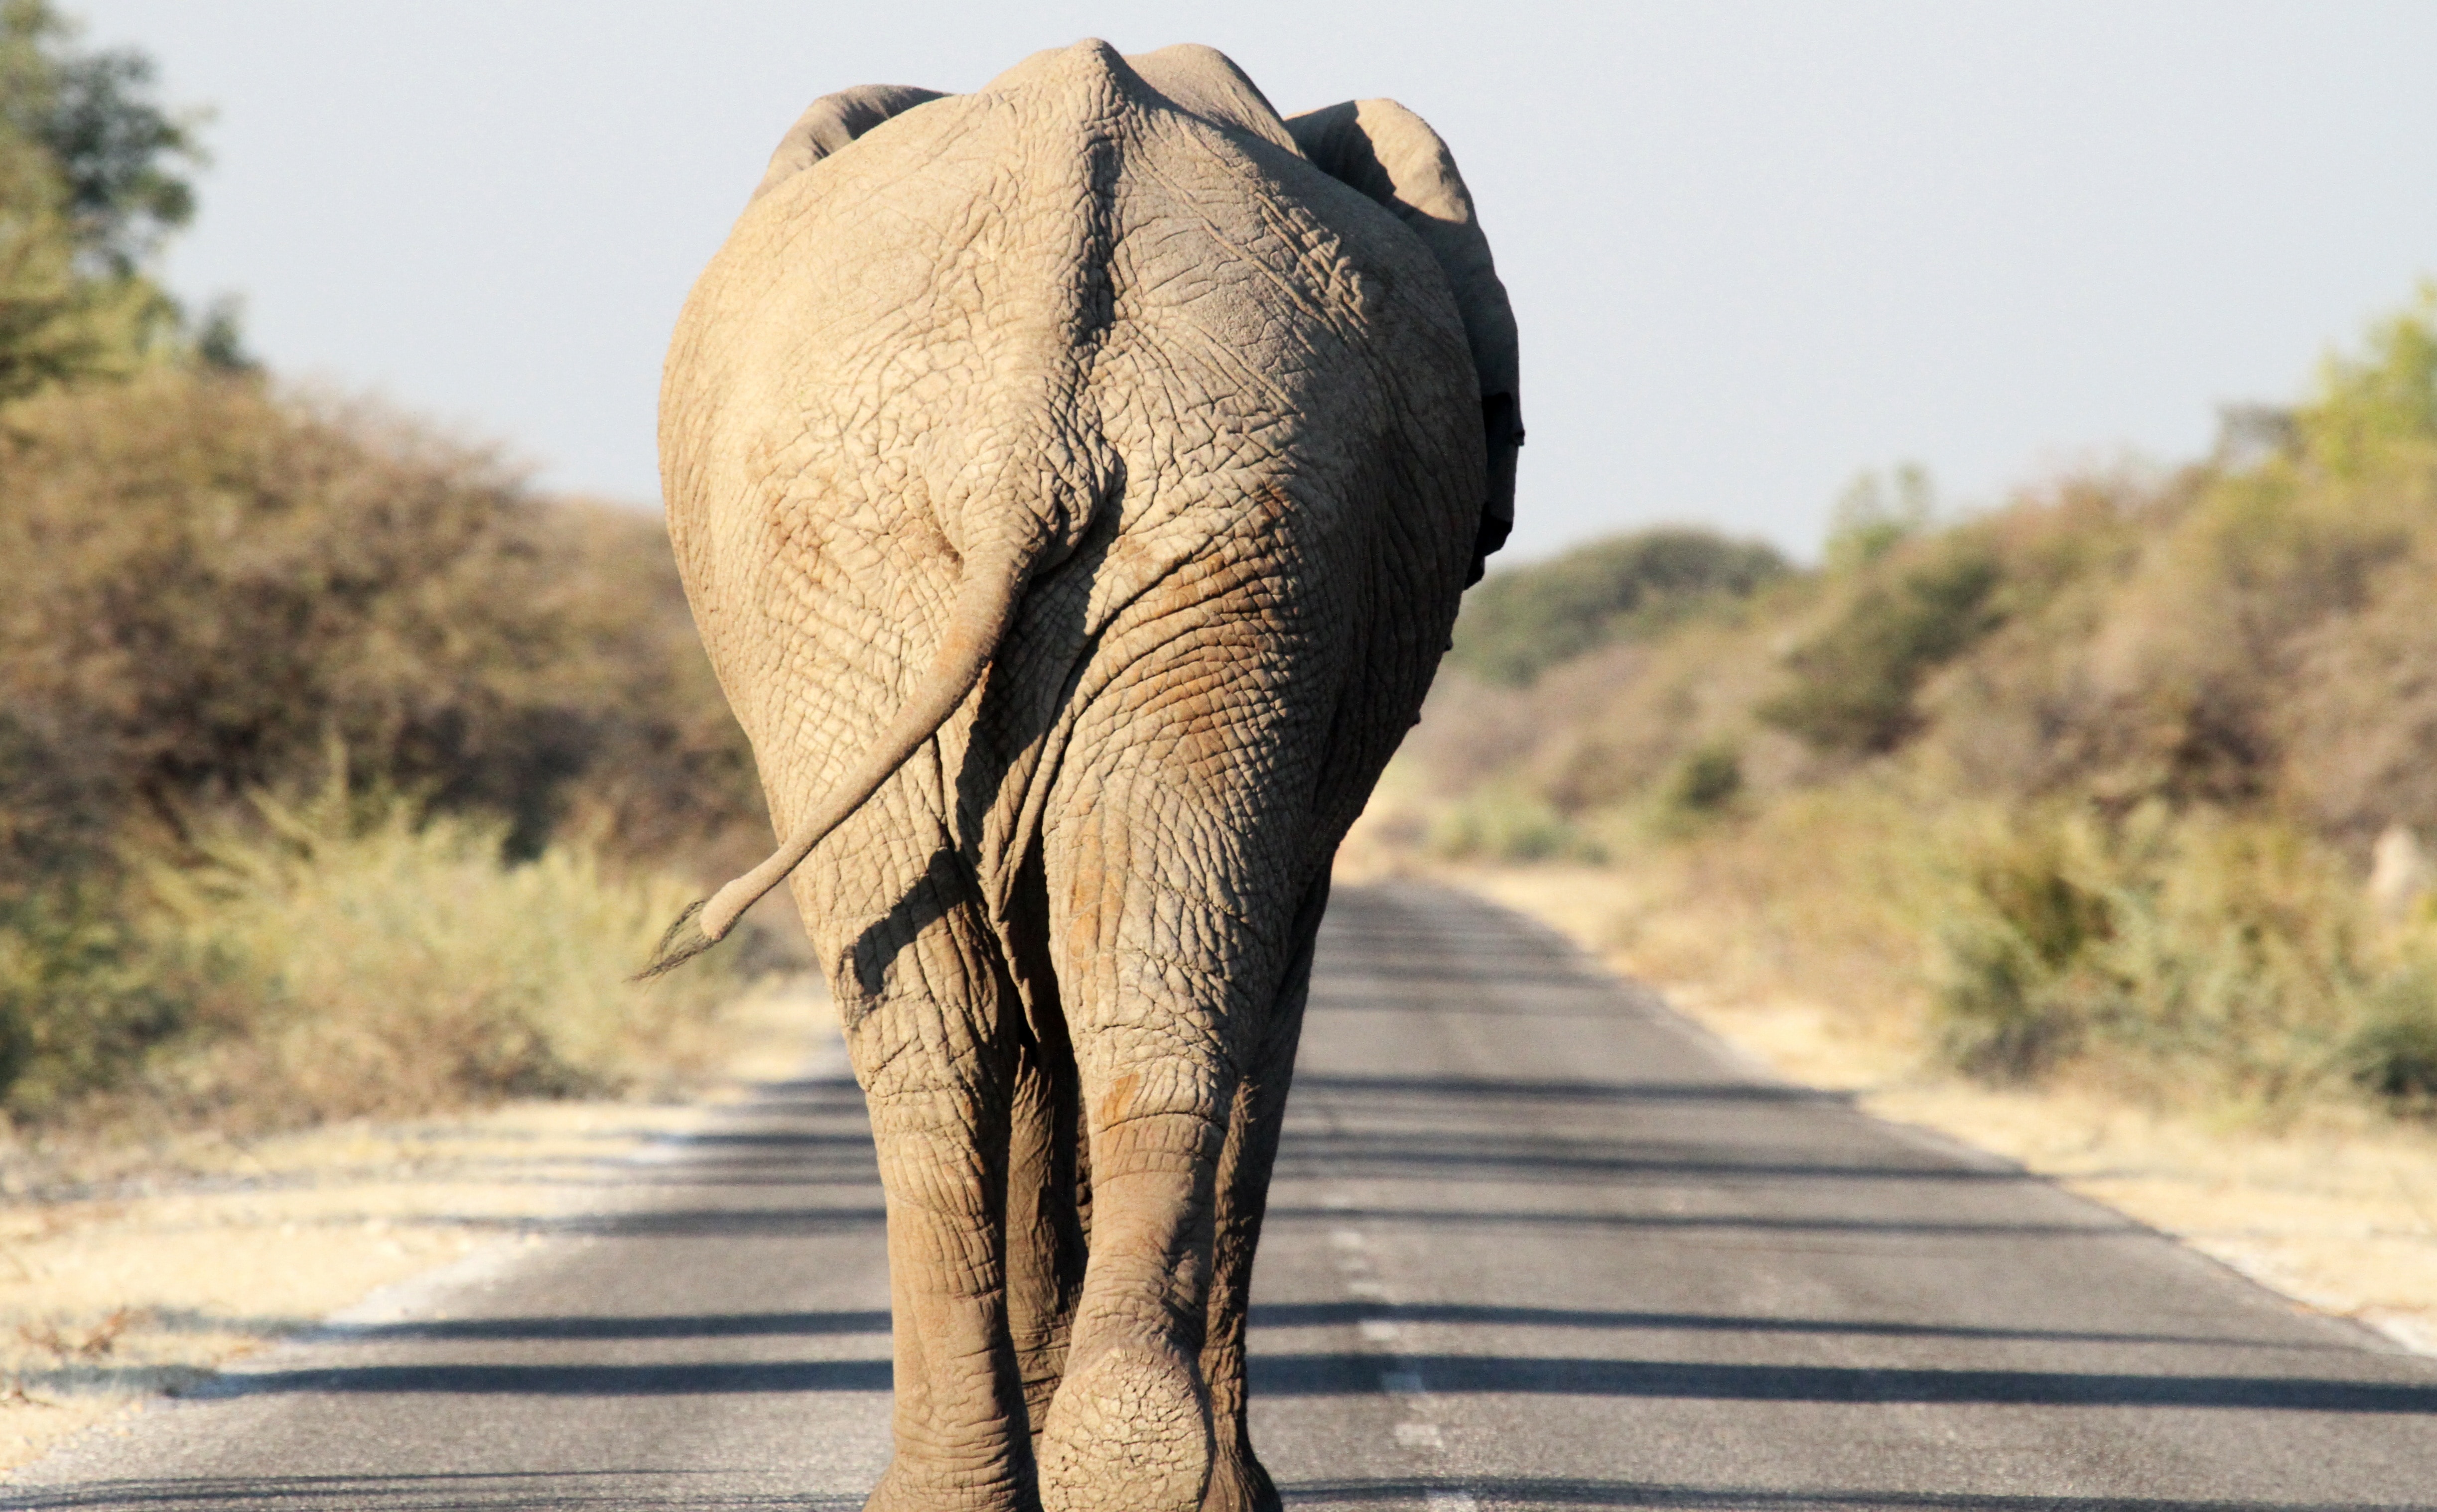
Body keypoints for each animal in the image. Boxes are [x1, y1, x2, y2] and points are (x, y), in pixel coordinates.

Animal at [648, 41, 1520, 1510]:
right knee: (1047, 994)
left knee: (1027, 996)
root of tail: (1029, 424)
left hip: (1156, 541)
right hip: (933, 550)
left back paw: (1092, 1465)